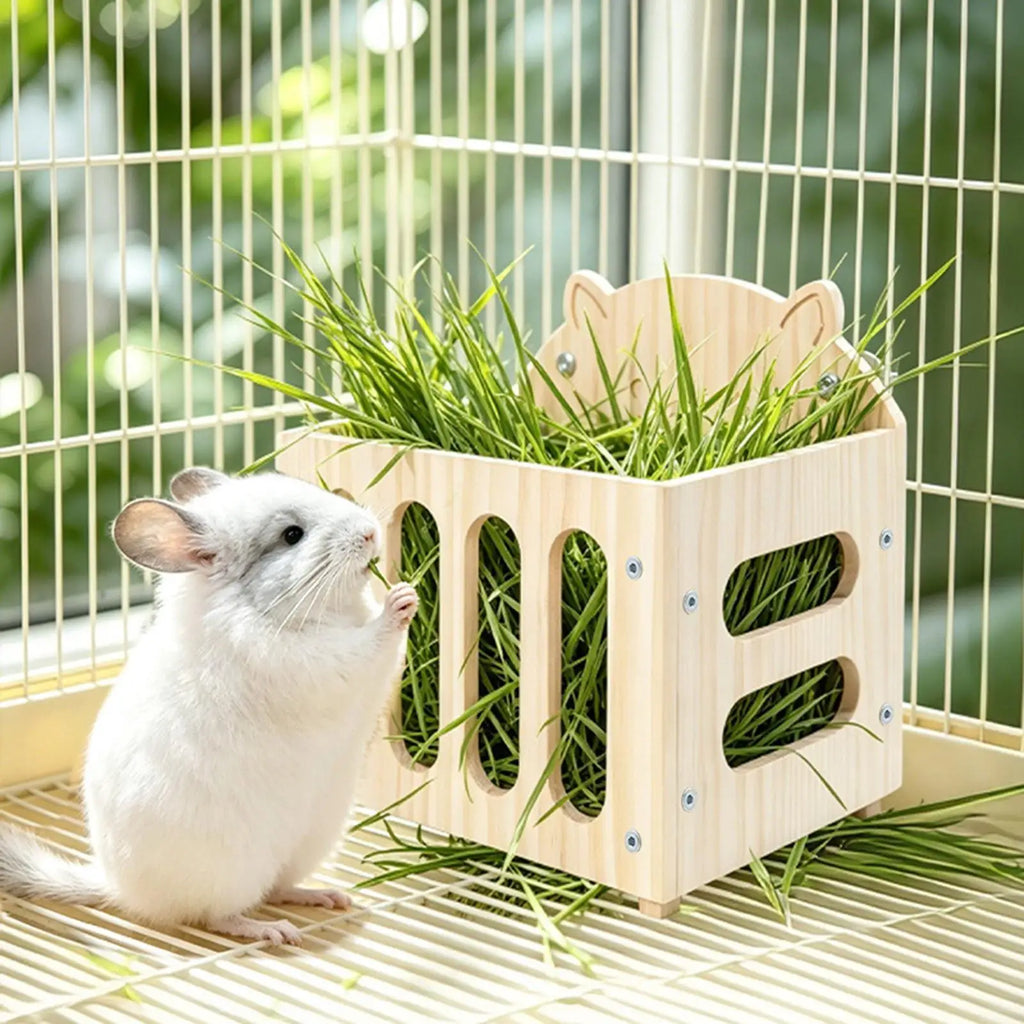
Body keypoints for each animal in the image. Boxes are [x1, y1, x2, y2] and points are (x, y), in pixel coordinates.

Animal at [0, 466, 418, 946]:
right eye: (292, 535)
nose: (370, 533)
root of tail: (119, 889)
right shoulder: (314, 662)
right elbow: (370, 643)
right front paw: (400, 599)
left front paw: (407, 589)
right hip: (229, 874)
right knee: (217, 915)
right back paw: (272, 929)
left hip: (309, 841)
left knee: (278, 887)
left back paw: (324, 896)